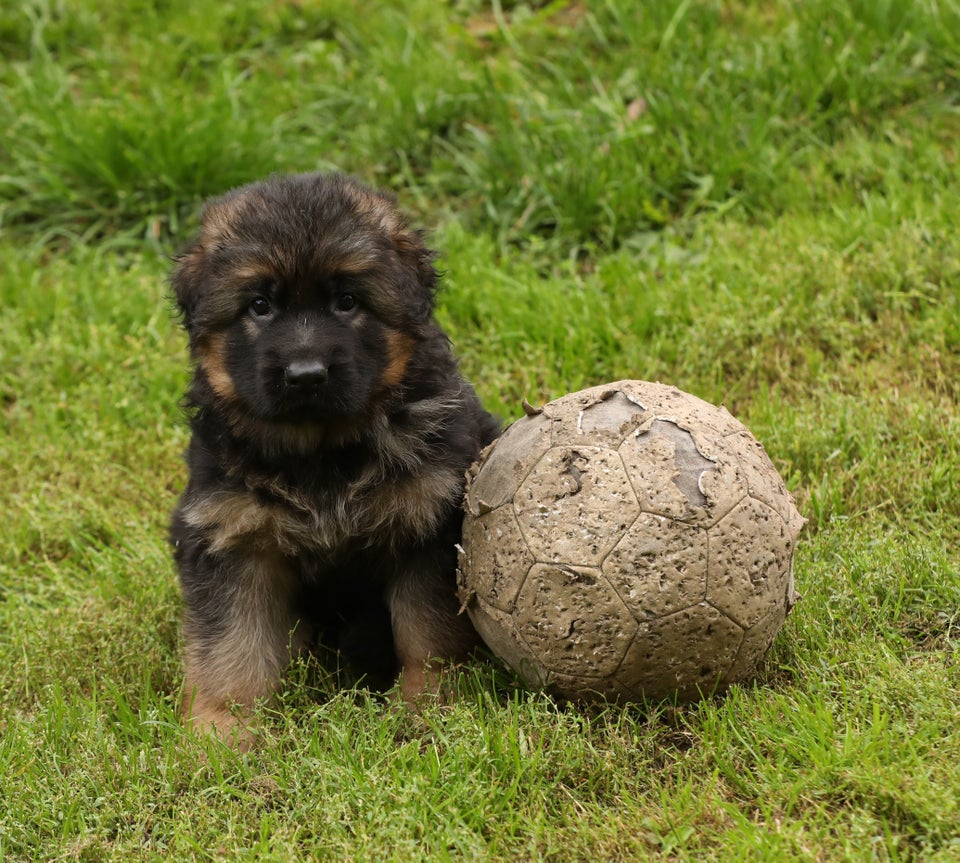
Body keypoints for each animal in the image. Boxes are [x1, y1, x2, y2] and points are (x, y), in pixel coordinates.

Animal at [170, 174, 498, 744]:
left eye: (347, 301)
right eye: (259, 306)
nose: (306, 375)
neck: (321, 452)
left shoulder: (427, 521)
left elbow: (428, 633)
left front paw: (426, 708)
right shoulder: (229, 538)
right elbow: (229, 646)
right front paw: (221, 730)